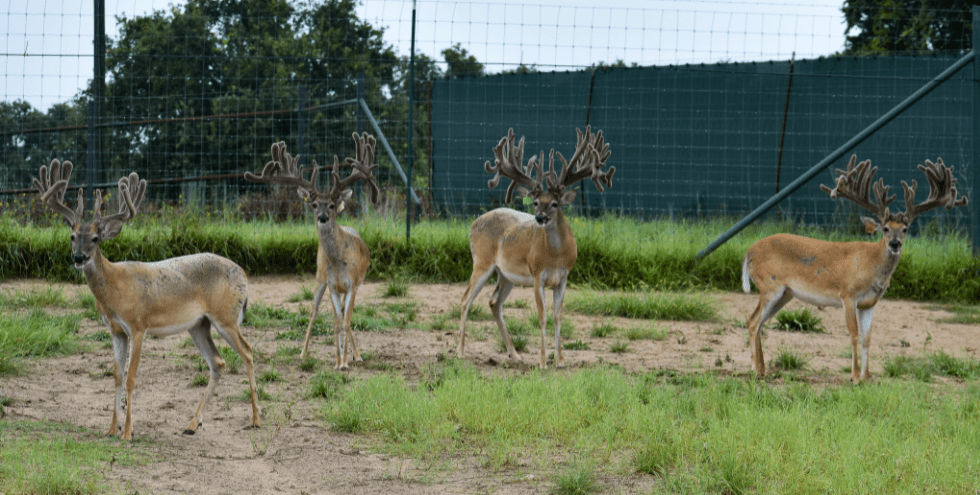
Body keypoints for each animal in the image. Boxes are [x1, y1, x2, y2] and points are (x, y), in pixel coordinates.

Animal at [33, 160, 260, 441]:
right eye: (72, 236)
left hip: (226, 317)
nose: (78, 257)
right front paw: (112, 428)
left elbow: (131, 377)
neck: (115, 290)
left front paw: (128, 432)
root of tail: (243, 274)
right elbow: (117, 376)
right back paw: (192, 424)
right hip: (199, 325)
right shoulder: (116, 330)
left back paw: (255, 420)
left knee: (248, 352)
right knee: (218, 362)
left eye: (95, 238)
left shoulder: (138, 325)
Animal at [245, 133, 380, 370]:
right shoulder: (332, 284)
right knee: (313, 311)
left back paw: (357, 355)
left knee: (346, 316)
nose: (323, 218)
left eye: (333, 205)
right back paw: (303, 353)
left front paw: (347, 361)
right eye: (315, 204)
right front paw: (339, 362)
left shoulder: (352, 285)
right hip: (319, 277)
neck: (339, 263)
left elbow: (345, 322)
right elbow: (336, 323)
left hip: (353, 285)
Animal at [457, 127, 614, 368]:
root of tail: (474, 223)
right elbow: (542, 317)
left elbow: (558, 316)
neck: (556, 256)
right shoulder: (537, 274)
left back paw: (515, 355)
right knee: (466, 300)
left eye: (555, 203)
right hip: (482, 261)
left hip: (506, 275)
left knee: (494, 302)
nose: (539, 218)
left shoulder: (564, 276)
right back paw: (460, 352)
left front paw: (560, 360)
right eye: (536, 202)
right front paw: (542, 361)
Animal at [742, 155, 968, 382]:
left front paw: (868, 377)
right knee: (753, 320)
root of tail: (749, 252)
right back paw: (754, 369)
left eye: (905, 229)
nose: (895, 244)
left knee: (758, 322)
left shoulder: (870, 303)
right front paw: (856, 377)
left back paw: (763, 368)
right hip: (770, 285)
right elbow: (854, 334)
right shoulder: (848, 295)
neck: (872, 265)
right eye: (886, 229)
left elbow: (867, 338)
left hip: (785, 293)